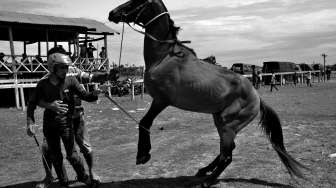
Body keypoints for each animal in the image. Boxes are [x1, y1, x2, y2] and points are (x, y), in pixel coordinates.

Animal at [108, 0, 308, 187]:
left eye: (136, 1)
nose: (112, 13)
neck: (164, 57)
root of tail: (257, 97)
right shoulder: (159, 101)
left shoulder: (161, 100)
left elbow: (144, 123)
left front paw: (143, 155)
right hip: (220, 121)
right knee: (226, 151)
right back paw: (204, 170)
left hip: (228, 124)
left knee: (227, 156)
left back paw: (208, 180)